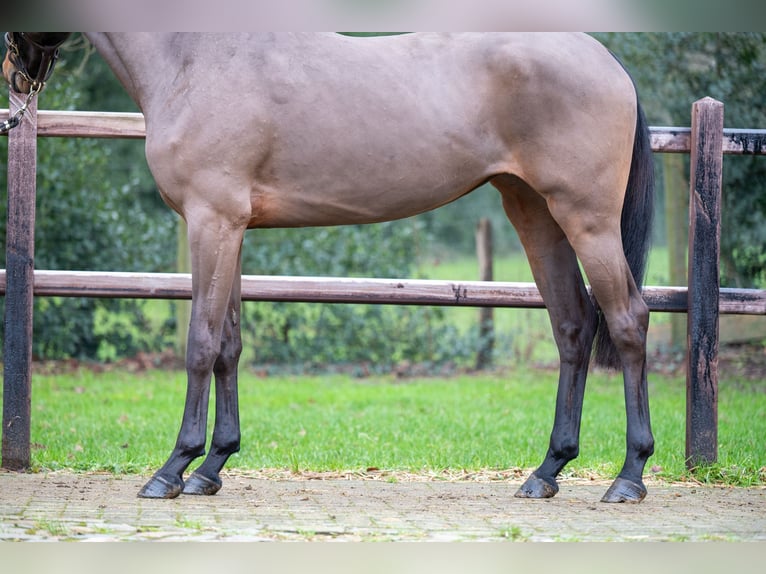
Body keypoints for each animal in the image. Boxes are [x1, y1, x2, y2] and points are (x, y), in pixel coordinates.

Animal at [3, 33, 656, 504]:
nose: (15, 72)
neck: (194, 58)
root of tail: (609, 63)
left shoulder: (211, 221)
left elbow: (199, 343)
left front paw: (173, 469)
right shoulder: (232, 229)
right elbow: (229, 344)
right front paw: (213, 466)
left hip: (586, 219)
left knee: (628, 321)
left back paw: (628, 476)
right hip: (533, 212)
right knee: (573, 326)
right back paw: (547, 471)